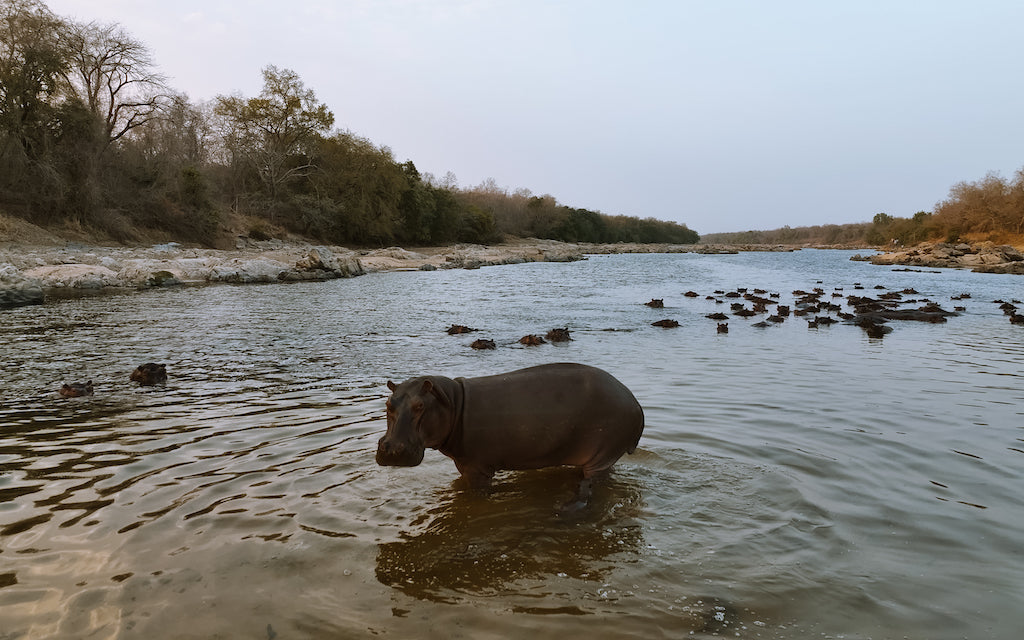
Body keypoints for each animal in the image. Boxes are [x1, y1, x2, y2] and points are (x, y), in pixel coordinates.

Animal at [376, 364, 643, 503]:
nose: (391, 449)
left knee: (593, 483)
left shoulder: (477, 468)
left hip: (602, 456)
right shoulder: (463, 465)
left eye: (420, 406)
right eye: (388, 403)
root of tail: (635, 402)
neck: (453, 401)